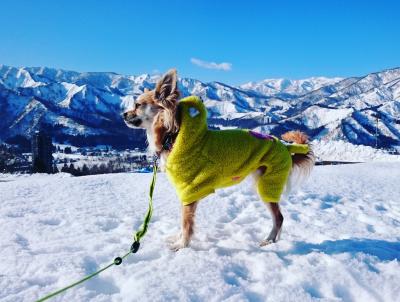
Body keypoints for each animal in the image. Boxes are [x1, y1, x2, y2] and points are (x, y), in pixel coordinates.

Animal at [123, 69, 314, 251]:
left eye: (137, 105)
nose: (123, 114)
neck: (172, 137)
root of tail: (286, 147)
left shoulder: (189, 192)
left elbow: (186, 223)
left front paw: (182, 246)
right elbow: (182, 222)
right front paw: (178, 240)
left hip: (268, 184)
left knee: (279, 217)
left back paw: (269, 241)